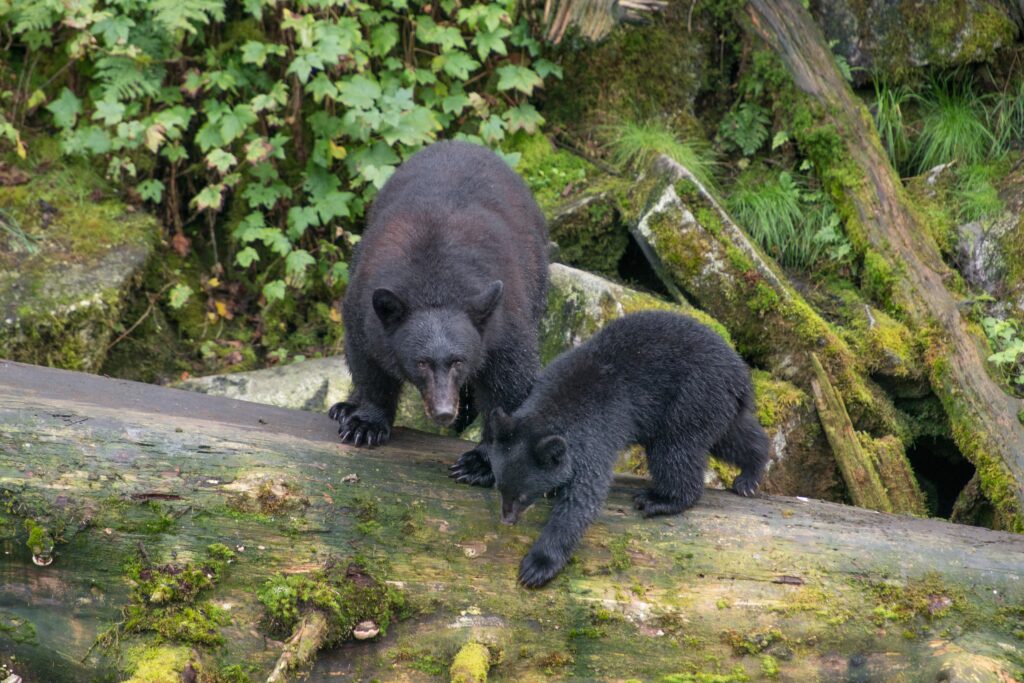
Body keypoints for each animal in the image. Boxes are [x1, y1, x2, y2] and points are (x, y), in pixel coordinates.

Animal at [331, 137, 548, 485]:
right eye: (421, 362)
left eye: (458, 361)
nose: (444, 412)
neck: (435, 285)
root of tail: (462, 143)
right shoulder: (364, 308)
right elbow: (367, 362)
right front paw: (365, 423)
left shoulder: (502, 321)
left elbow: (510, 381)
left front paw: (480, 463)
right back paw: (344, 407)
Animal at [487, 311, 770, 589]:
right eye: (500, 487)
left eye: (523, 495)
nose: (506, 519)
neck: (553, 407)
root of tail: (740, 373)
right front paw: (554, 490)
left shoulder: (595, 435)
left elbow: (582, 500)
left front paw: (538, 565)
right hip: (717, 406)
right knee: (734, 437)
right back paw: (750, 476)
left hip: (691, 398)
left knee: (674, 452)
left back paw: (660, 500)